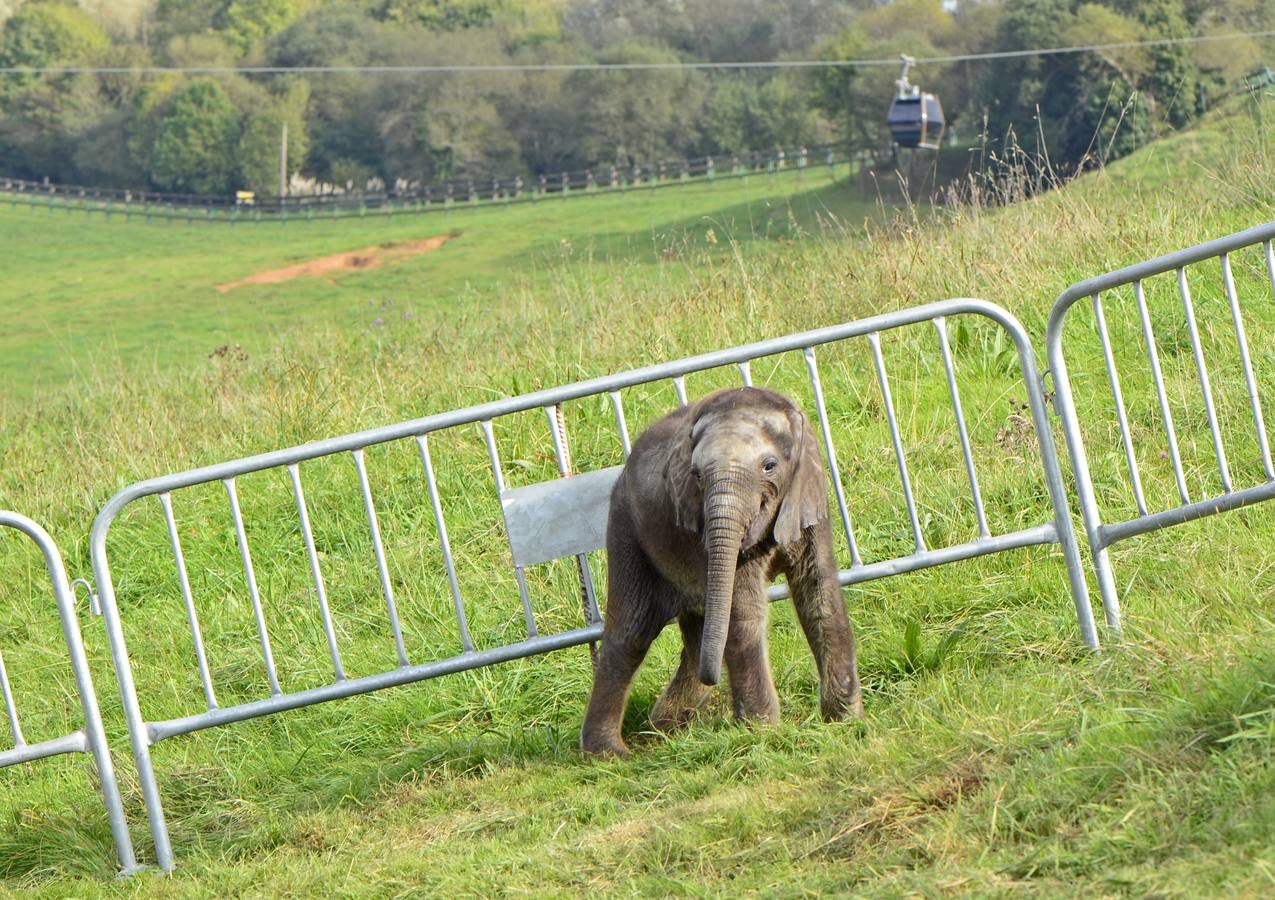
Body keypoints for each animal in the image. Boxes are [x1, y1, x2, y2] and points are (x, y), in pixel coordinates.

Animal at [581, 382, 861, 754]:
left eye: (770, 466)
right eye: (697, 475)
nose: (715, 680)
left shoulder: (808, 499)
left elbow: (818, 593)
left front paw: (844, 722)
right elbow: (743, 612)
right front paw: (763, 733)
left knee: (697, 633)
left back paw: (665, 728)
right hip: (627, 530)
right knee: (632, 631)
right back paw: (610, 754)